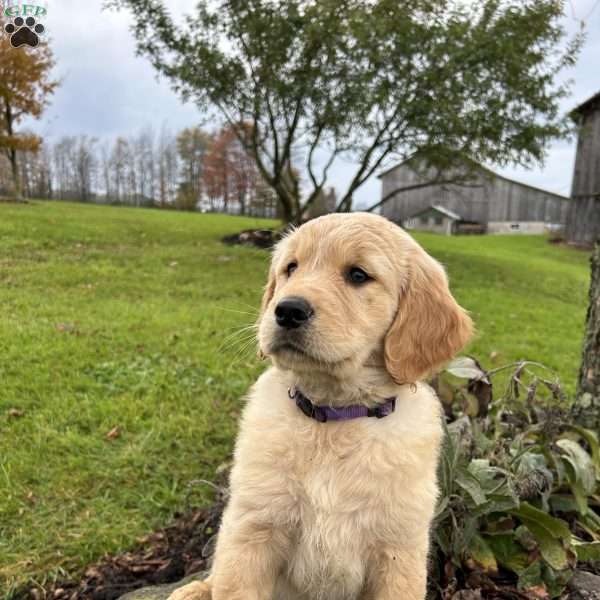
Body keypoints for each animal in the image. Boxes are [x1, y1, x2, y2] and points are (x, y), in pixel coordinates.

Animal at [170, 212, 474, 600]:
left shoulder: (398, 549)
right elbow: (233, 586)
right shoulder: (253, 528)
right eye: (291, 268)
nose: (287, 310)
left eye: (358, 275)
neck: (335, 416)